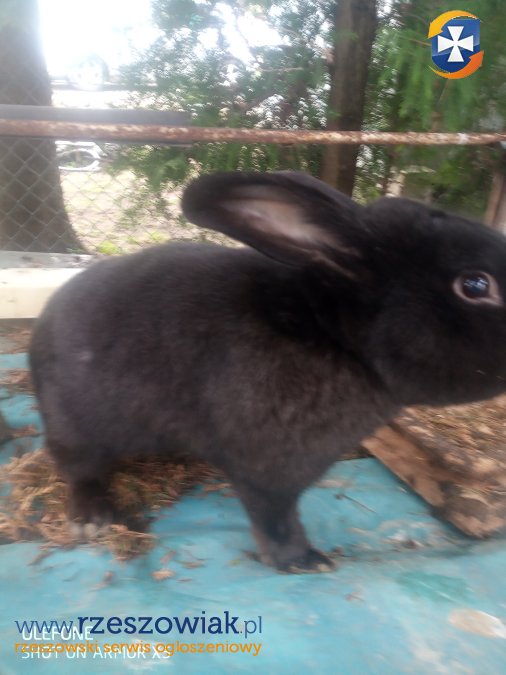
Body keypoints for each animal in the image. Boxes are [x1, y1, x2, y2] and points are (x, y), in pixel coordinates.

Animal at [29, 170, 506, 573]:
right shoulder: (269, 473)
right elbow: (275, 517)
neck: (337, 339)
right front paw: (304, 561)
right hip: (78, 428)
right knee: (77, 467)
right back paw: (91, 517)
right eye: (475, 285)